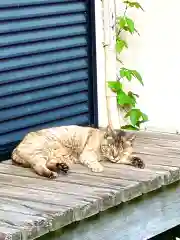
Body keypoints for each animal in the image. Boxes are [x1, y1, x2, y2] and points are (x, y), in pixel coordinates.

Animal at [11, 125, 145, 178]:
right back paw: (51, 174)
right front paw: (97, 167)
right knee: (38, 166)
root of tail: (16, 149)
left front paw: (138, 161)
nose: (115, 156)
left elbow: (129, 158)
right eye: (110, 148)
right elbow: (93, 161)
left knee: (48, 164)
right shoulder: (88, 153)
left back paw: (62, 167)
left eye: (121, 151)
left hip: (50, 155)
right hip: (42, 150)